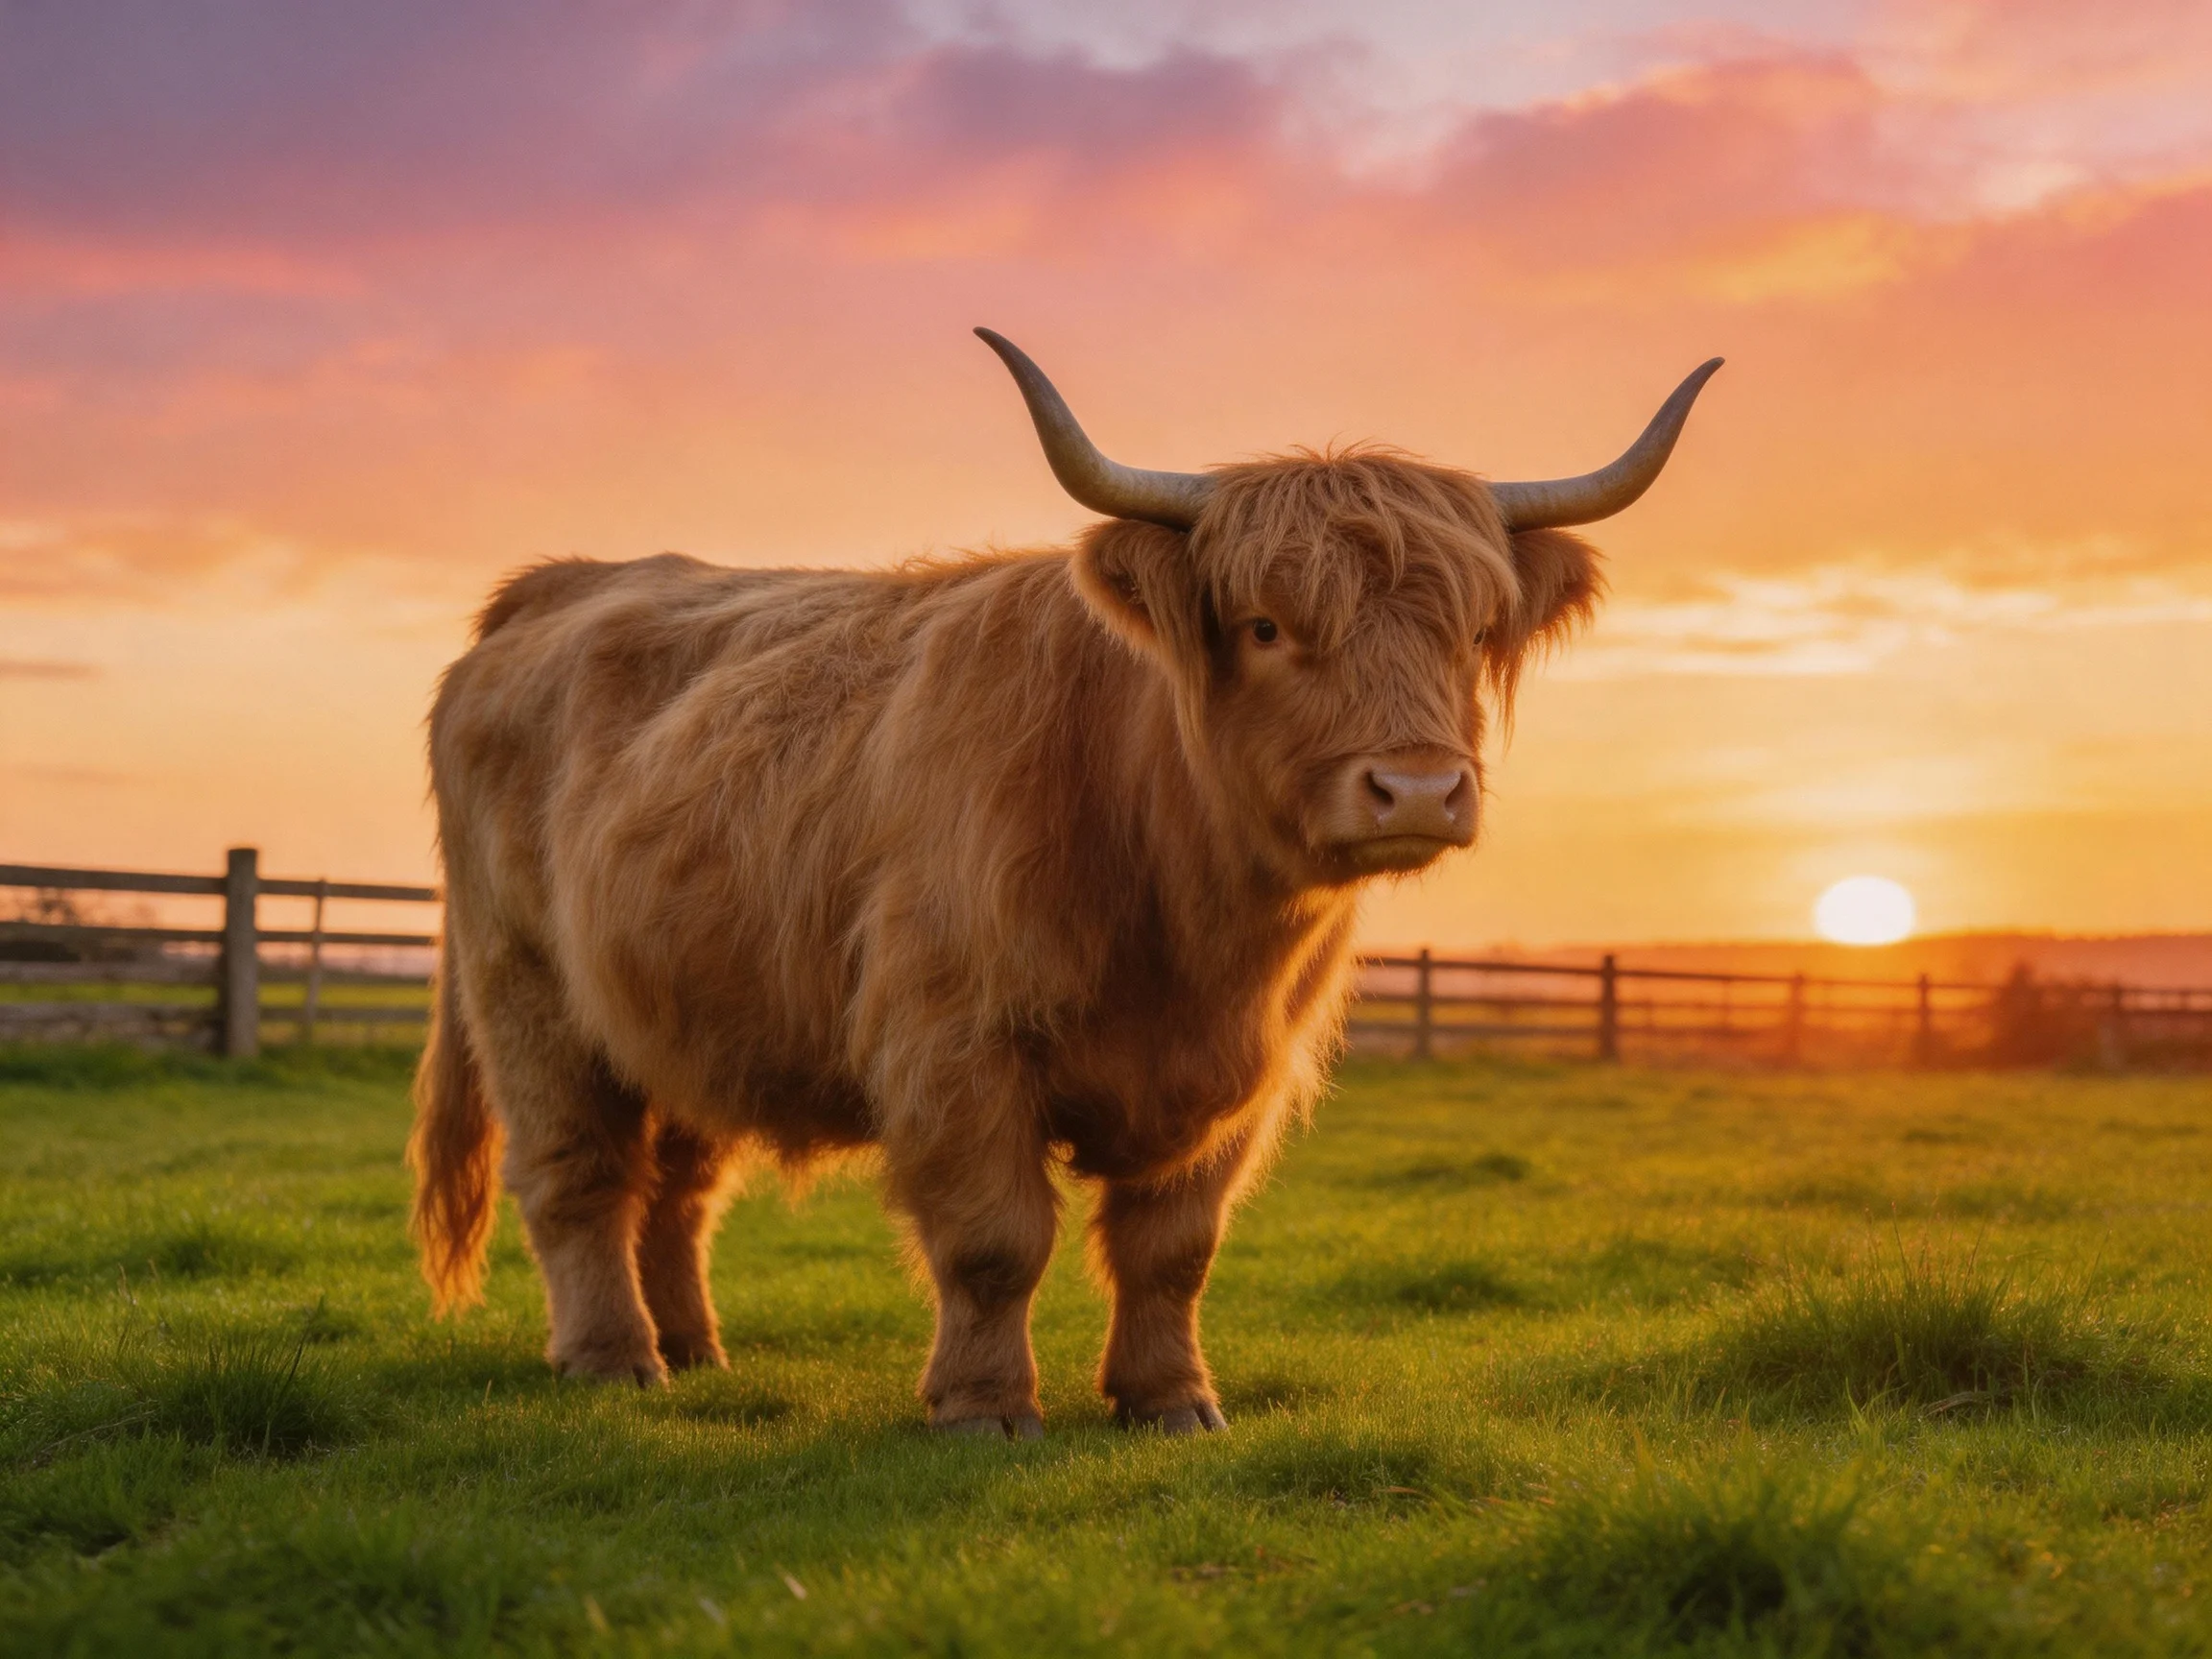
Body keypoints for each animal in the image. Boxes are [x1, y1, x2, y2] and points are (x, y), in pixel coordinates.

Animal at [409, 330, 1720, 1437]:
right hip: (527, 991)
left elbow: (1172, 1248)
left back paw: (693, 1349)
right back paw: (612, 1359)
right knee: (580, 1174)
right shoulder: (953, 1045)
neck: (1185, 922)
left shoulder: (1239, 1078)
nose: (1415, 789)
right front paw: (984, 1408)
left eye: (1471, 631)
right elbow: (996, 1240)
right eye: (1263, 627)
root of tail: (562, 583)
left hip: (684, 1008)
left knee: (680, 1185)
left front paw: (1170, 1400)